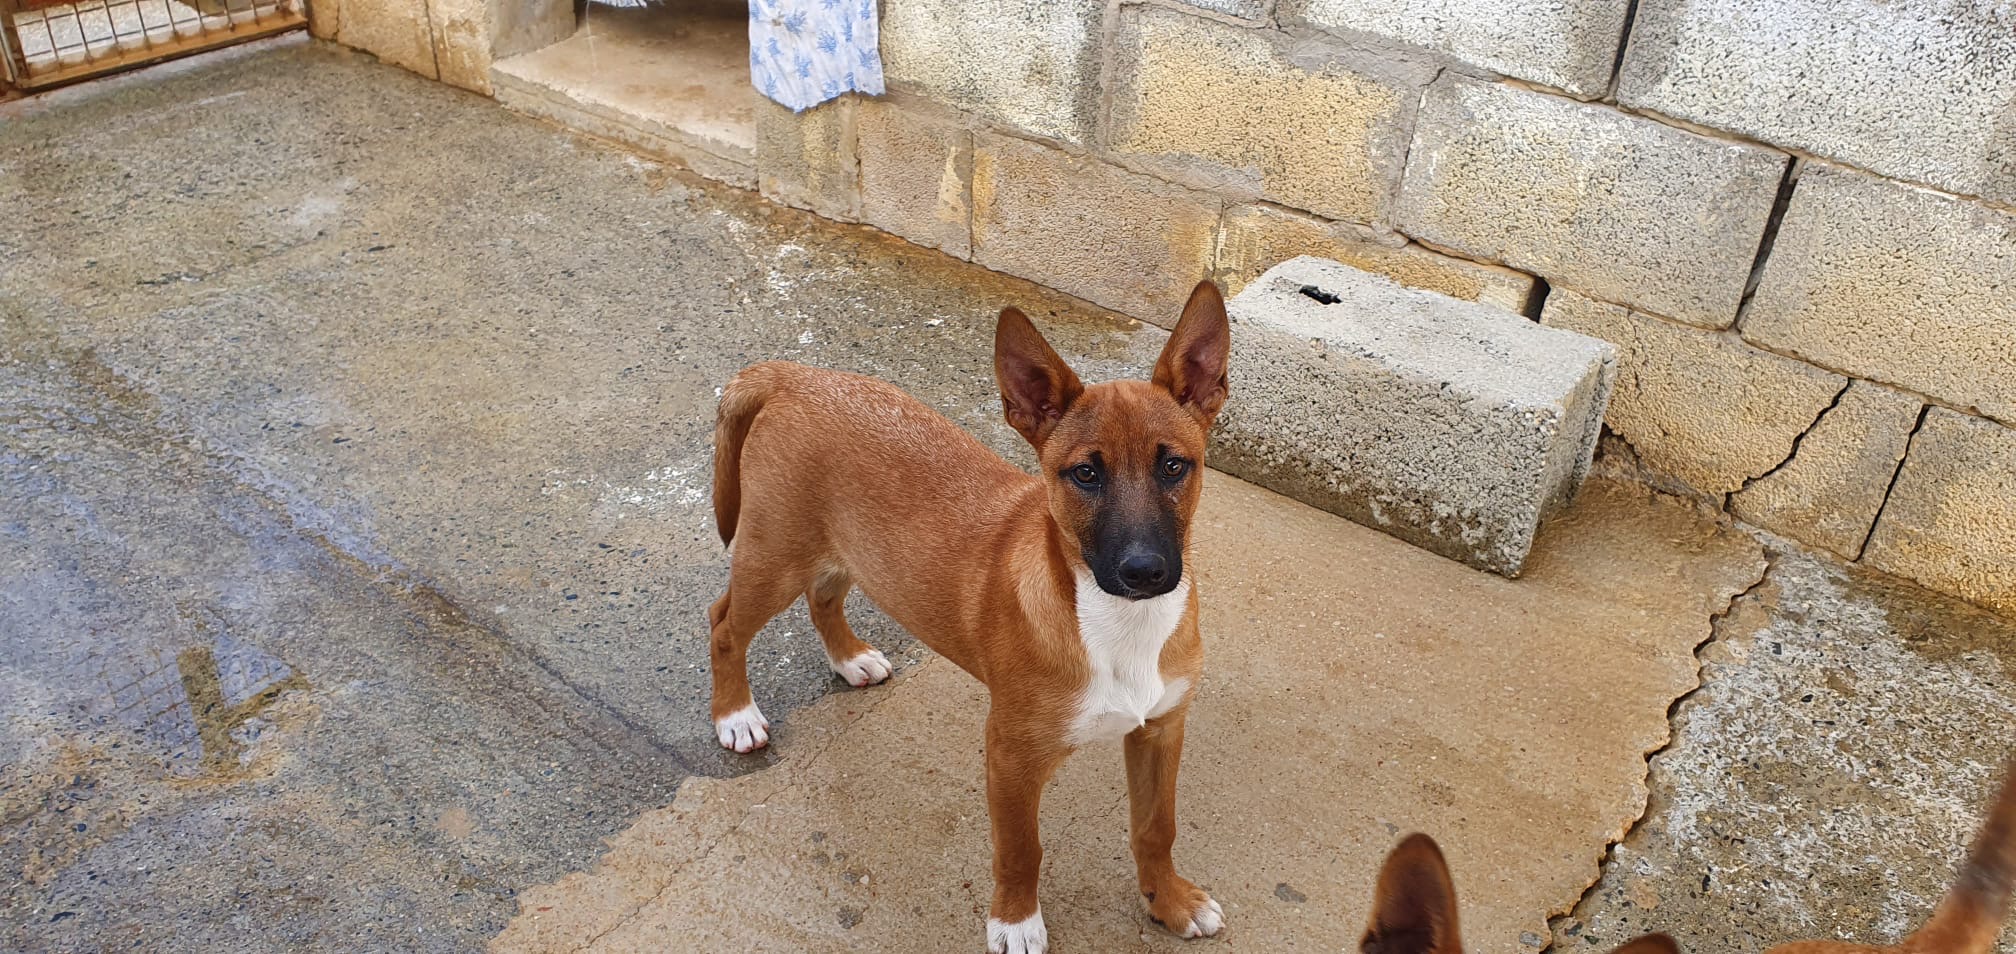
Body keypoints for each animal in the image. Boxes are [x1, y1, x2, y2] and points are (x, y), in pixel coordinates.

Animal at [706, 281, 1232, 953]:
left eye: (1174, 466)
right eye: (1086, 473)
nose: (1144, 572)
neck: (1114, 625)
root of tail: (798, 376)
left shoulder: (1162, 730)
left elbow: (1155, 827)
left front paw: (1169, 900)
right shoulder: (1010, 754)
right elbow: (1021, 850)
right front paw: (1016, 921)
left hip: (851, 551)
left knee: (824, 597)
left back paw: (850, 659)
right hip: (773, 557)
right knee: (724, 623)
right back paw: (736, 716)